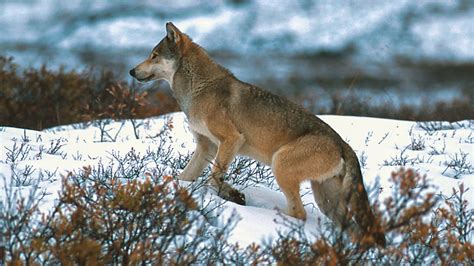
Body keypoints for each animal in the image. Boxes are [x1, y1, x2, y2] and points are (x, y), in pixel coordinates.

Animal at [129, 21, 386, 246]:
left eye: (154, 55)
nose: (131, 71)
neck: (197, 90)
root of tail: (344, 144)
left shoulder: (231, 139)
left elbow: (213, 177)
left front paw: (232, 195)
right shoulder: (206, 147)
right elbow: (187, 177)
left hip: (280, 165)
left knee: (299, 213)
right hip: (326, 201)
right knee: (346, 227)